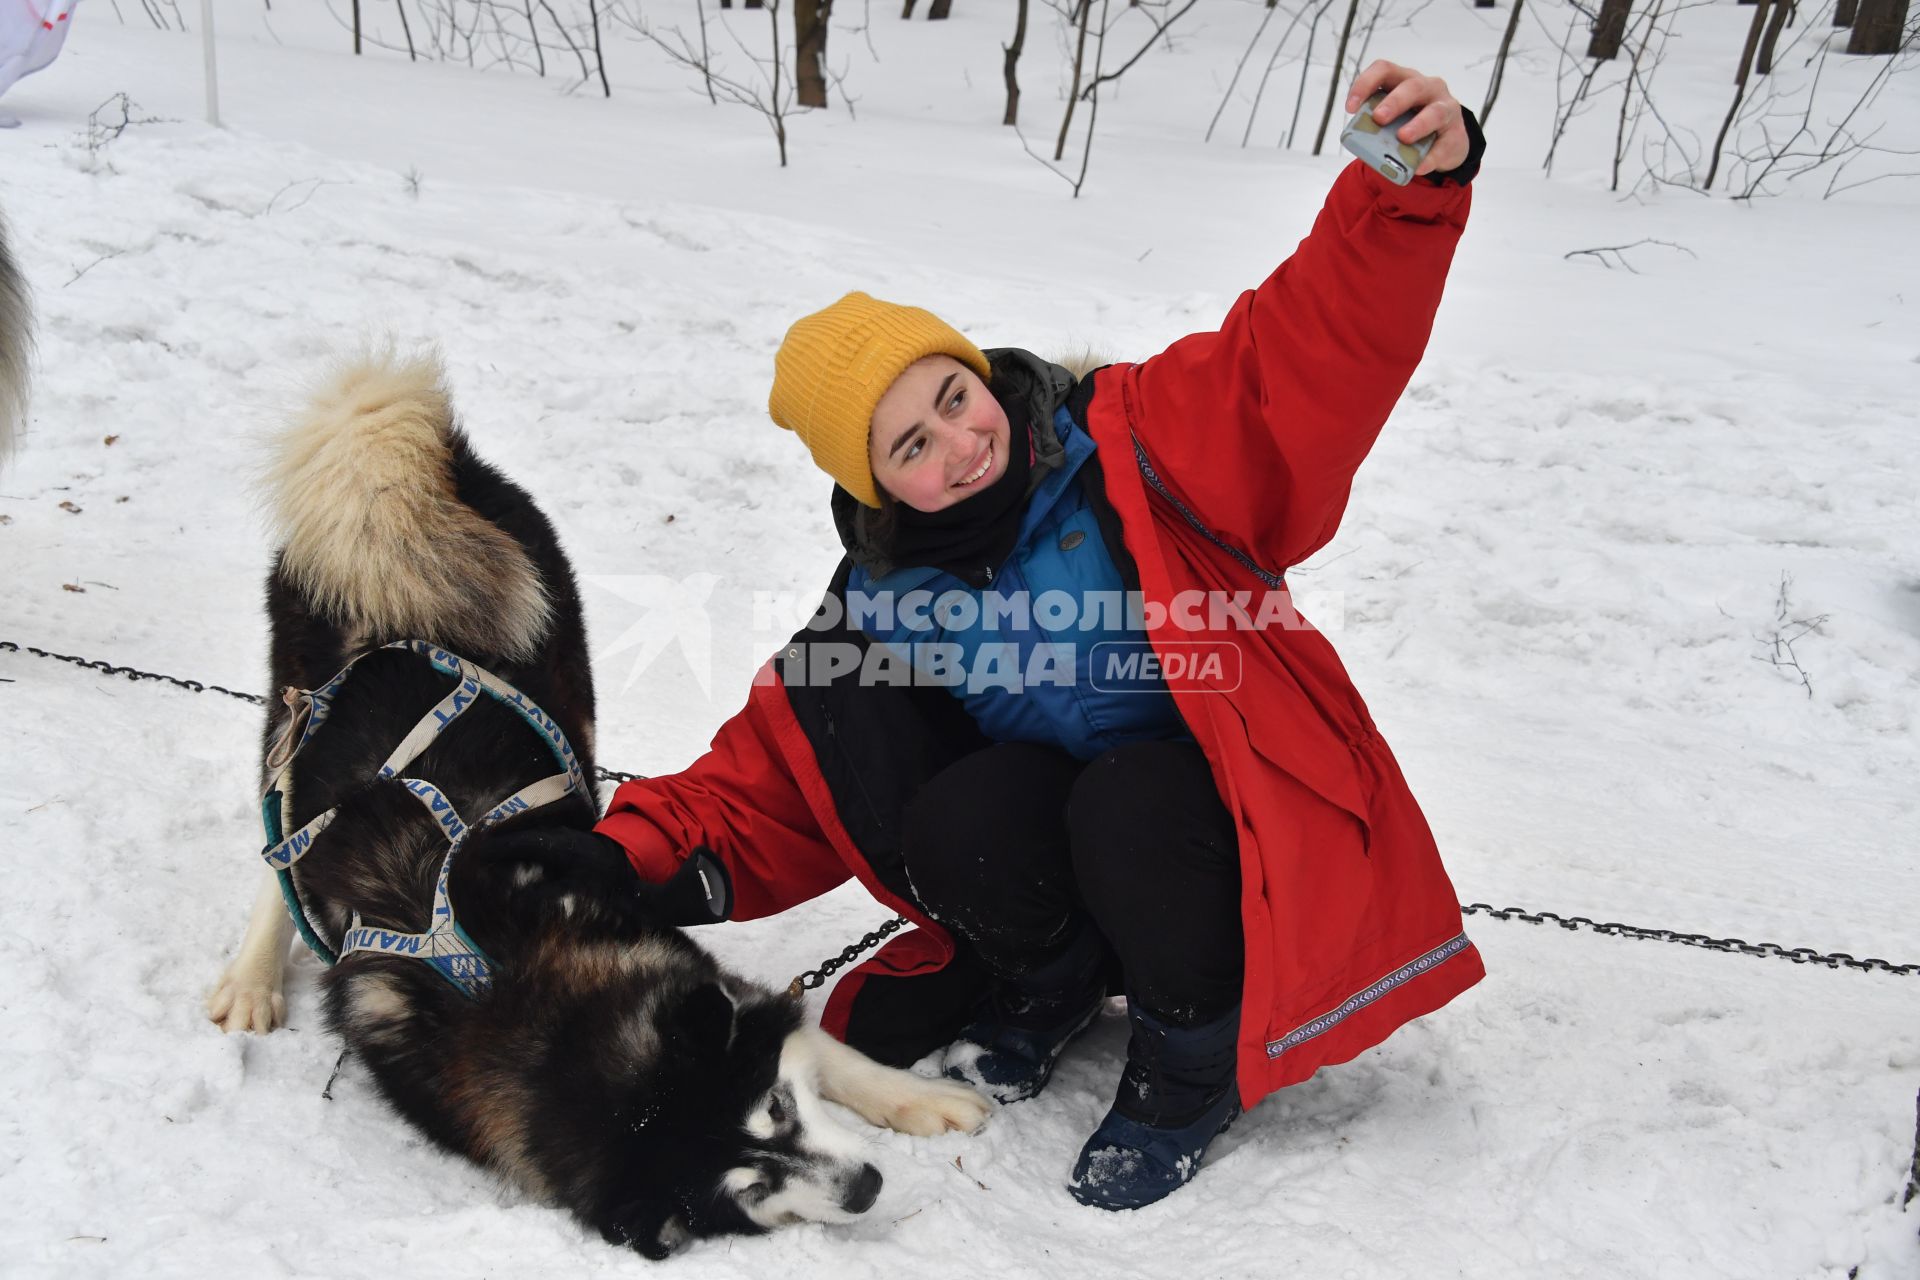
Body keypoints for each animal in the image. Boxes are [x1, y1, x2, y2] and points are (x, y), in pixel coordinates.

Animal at [208, 355, 990, 1258]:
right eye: (755, 1187)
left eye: (777, 1109)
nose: (865, 1189)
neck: (509, 991)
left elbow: (828, 1050)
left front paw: (922, 1099)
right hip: (293, 720)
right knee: (282, 845)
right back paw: (253, 976)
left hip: (555, 669)